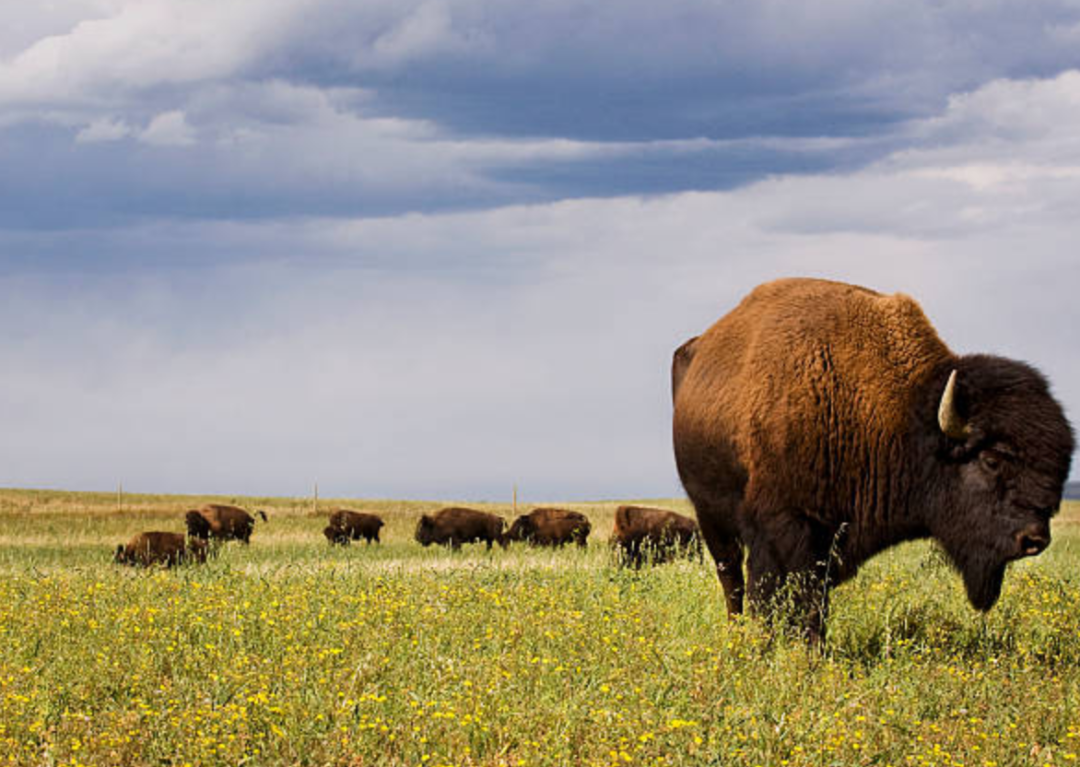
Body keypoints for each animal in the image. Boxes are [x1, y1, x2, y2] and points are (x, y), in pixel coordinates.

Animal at [673, 278, 1075, 641]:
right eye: (991, 460)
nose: (1034, 540)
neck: (900, 414)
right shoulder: (783, 526)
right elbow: (781, 594)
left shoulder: (830, 538)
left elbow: (814, 602)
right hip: (710, 515)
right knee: (732, 579)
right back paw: (737, 634)